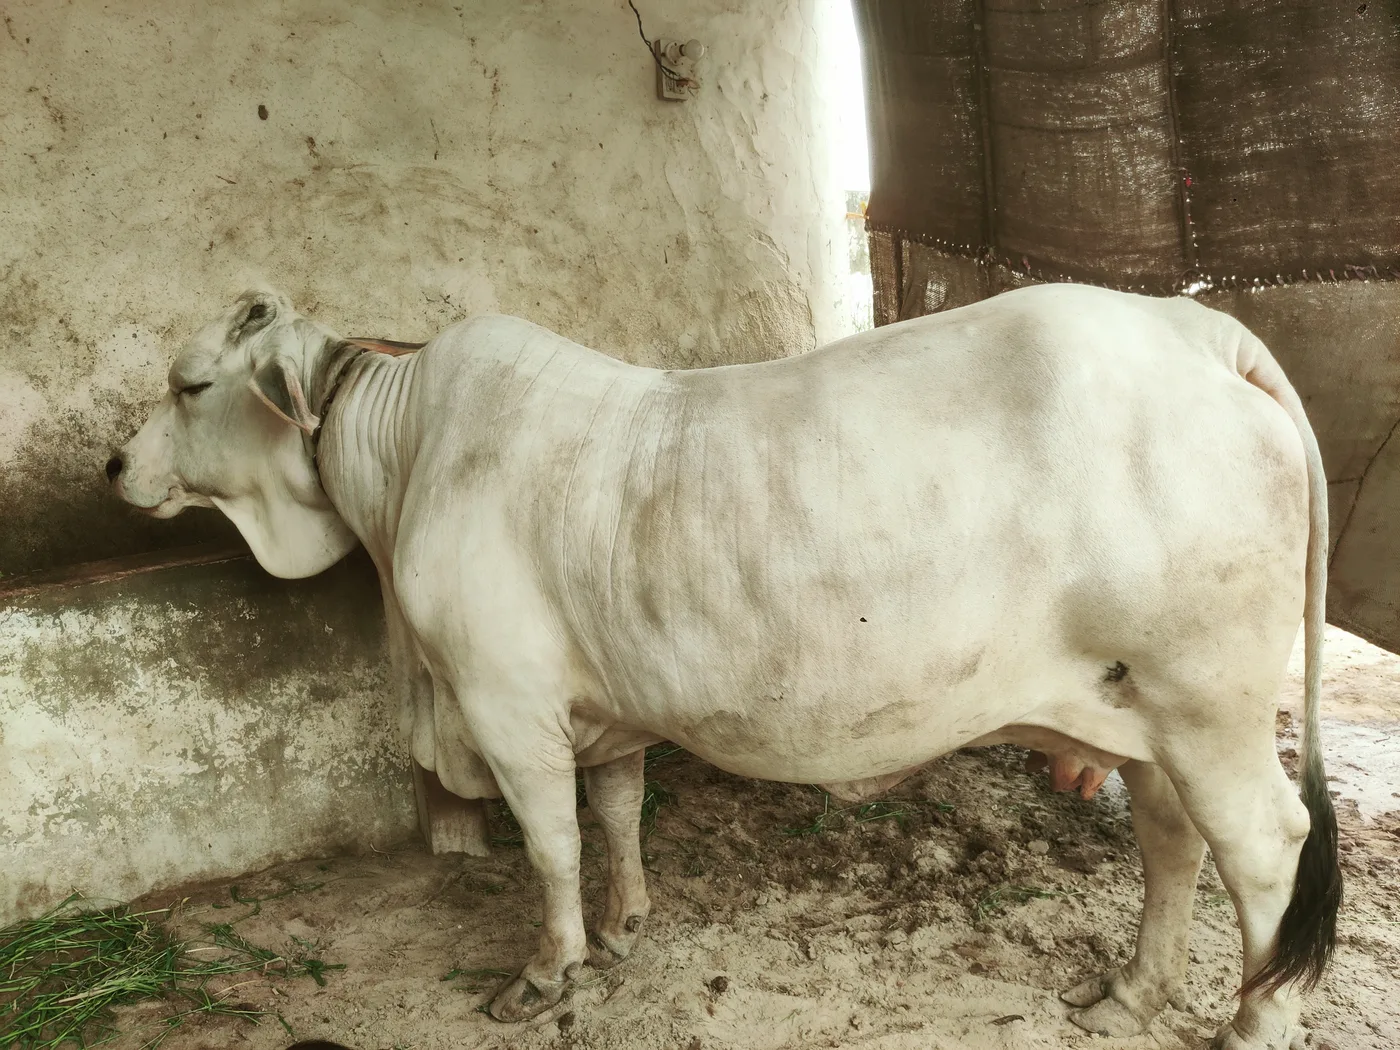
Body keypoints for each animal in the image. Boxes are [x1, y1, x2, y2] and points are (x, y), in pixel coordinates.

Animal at [110, 284, 1340, 1049]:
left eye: (189, 383)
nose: (116, 464)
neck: (408, 457)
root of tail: (1193, 330)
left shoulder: (505, 705)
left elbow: (550, 846)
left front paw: (547, 972)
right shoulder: (599, 710)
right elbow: (614, 812)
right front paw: (624, 926)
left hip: (1209, 704)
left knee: (1265, 849)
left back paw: (1253, 1021)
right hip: (1145, 712)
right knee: (1172, 842)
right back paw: (1129, 994)